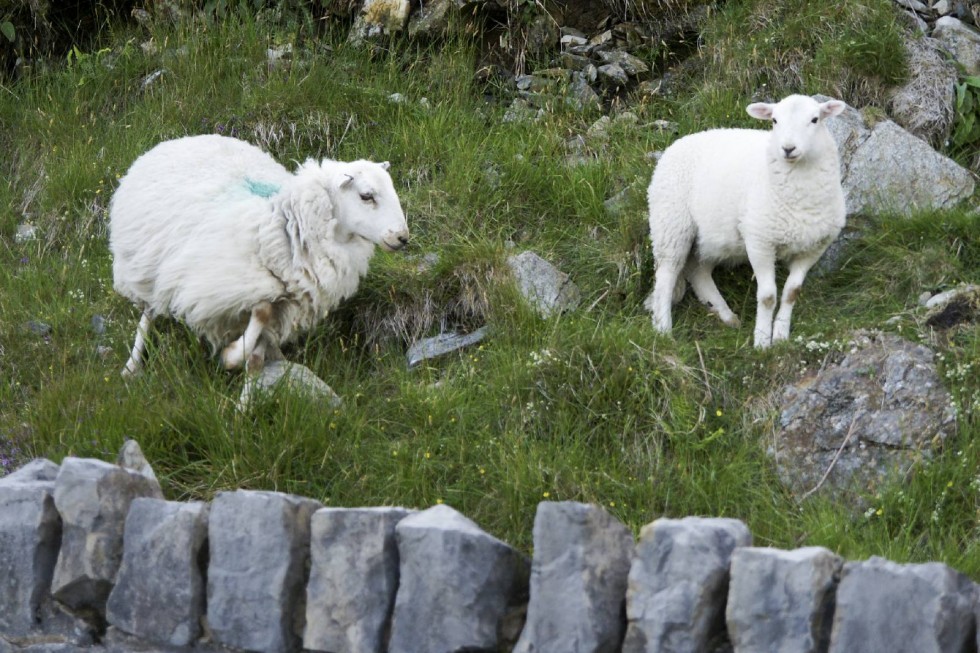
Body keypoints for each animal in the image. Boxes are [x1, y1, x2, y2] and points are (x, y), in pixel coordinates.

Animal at [109, 133, 408, 376]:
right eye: (367, 195)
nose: (403, 237)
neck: (286, 227)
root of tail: (178, 140)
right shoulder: (230, 284)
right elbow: (262, 309)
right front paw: (230, 355)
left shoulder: (285, 309)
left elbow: (256, 352)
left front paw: (245, 400)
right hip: (145, 263)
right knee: (148, 312)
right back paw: (132, 367)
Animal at [648, 95, 848, 348]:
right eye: (774, 120)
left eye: (815, 119)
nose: (788, 148)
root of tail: (679, 142)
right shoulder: (759, 241)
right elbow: (768, 297)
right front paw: (762, 341)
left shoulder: (813, 248)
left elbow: (792, 292)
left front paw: (780, 336)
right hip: (671, 224)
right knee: (666, 278)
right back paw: (663, 330)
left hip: (708, 240)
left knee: (698, 272)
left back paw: (725, 315)